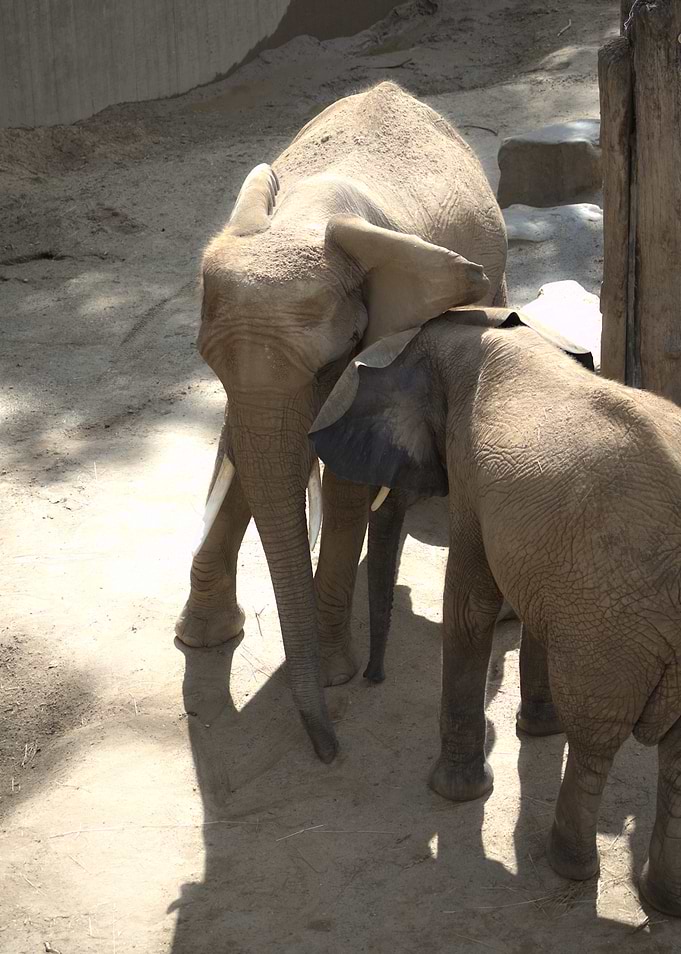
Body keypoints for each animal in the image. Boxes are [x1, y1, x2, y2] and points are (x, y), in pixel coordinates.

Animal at [174, 81, 508, 762]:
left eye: (333, 360)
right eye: (206, 361)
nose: (329, 752)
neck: (302, 213)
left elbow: (346, 480)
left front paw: (334, 675)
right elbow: (240, 453)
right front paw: (202, 639)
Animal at [310, 309, 681, 915]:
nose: (372, 679)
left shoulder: (468, 471)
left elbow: (470, 604)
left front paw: (456, 794)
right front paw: (538, 730)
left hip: (616, 624)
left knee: (596, 738)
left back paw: (568, 867)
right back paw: (664, 898)